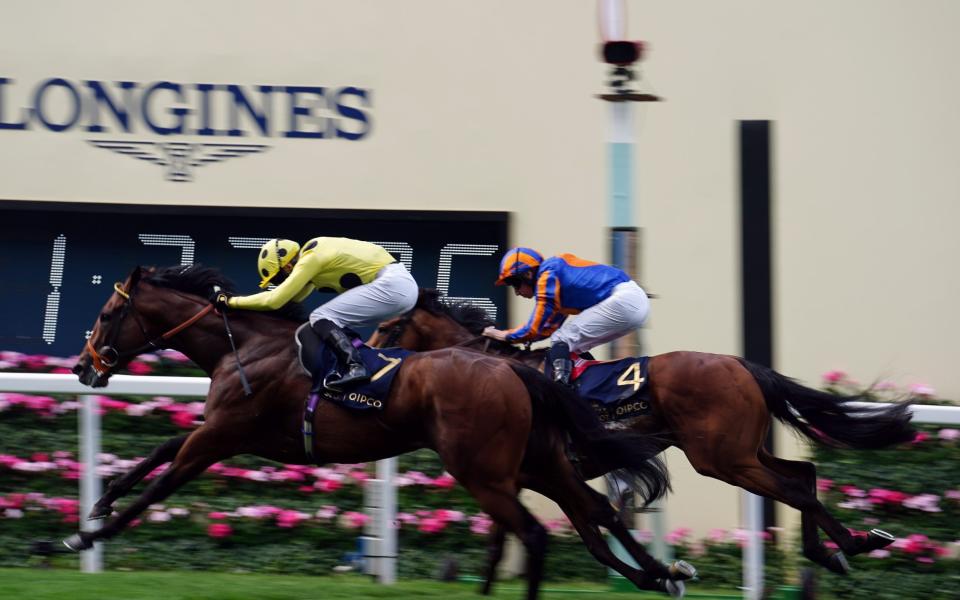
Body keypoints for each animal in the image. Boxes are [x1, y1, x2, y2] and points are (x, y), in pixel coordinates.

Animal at [71, 268, 692, 600]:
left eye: (106, 315)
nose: (82, 368)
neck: (243, 346)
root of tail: (513, 369)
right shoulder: (228, 433)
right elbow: (157, 452)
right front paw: (99, 505)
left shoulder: (222, 436)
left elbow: (161, 485)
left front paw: (83, 538)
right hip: (537, 462)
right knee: (593, 512)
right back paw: (663, 574)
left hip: (485, 471)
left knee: (540, 534)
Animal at [368, 288, 916, 580]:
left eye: (391, 327)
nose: (364, 354)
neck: (495, 371)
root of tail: (741, 364)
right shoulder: (528, 475)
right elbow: (565, 534)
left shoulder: (533, 472)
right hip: (743, 451)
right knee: (801, 473)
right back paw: (836, 550)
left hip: (722, 458)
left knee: (794, 488)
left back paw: (851, 544)